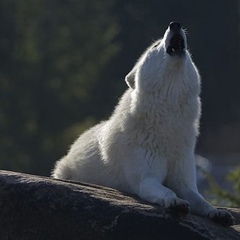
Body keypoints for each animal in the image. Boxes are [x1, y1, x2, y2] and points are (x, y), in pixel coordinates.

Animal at [52, 21, 234, 226]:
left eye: (189, 51)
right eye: (155, 45)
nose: (175, 24)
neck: (167, 120)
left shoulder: (184, 173)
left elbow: (200, 199)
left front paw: (218, 213)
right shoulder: (145, 176)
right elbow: (165, 190)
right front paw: (176, 203)